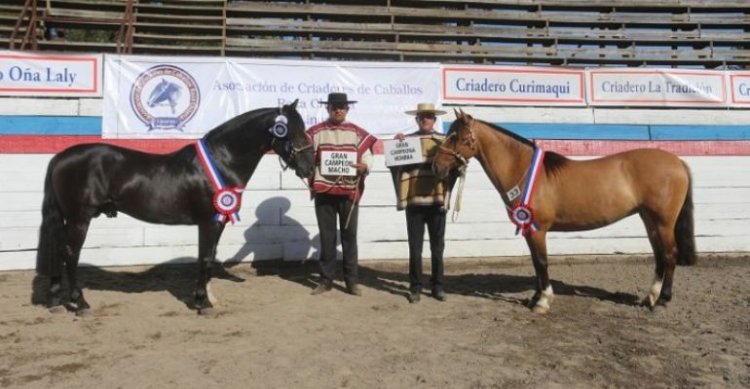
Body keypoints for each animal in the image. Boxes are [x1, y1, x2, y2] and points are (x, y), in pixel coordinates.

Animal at [36, 101, 314, 316]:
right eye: (292, 131)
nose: (310, 168)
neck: (222, 161)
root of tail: (59, 157)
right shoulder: (209, 221)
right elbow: (205, 258)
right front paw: (202, 303)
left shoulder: (217, 221)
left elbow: (209, 257)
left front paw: (207, 298)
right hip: (79, 218)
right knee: (70, 254)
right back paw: (80, 303)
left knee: (58, 252)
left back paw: (55, 301)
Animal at [434, 108, 700, 312]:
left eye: (457, 137)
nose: (436, 167)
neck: (525, 171)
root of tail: (678, 162)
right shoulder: (529, 230)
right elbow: (535, 262)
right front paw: (534, 298)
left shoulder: (537, 229)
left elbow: (542, 262)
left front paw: (542, 301)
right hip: (649, 220)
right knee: (659, 257)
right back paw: (649, 298)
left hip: (663, 222)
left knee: (670, 255)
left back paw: (662, 300)